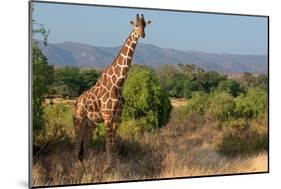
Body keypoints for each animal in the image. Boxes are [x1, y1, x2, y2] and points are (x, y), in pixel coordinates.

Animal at [72, 14, 151, 164]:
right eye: (135, 25)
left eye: (145, 25)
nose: (142, 34)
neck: (118, 84)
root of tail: (77, 102)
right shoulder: (108, 116)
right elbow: (108, 144)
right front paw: (109, 166)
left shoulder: (117, 117)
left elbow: (113, 144)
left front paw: (115, 164)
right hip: (78, 120)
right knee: (77, 140)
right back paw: (77, 163)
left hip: (91, 123)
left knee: (86, 140)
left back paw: (87, 161)